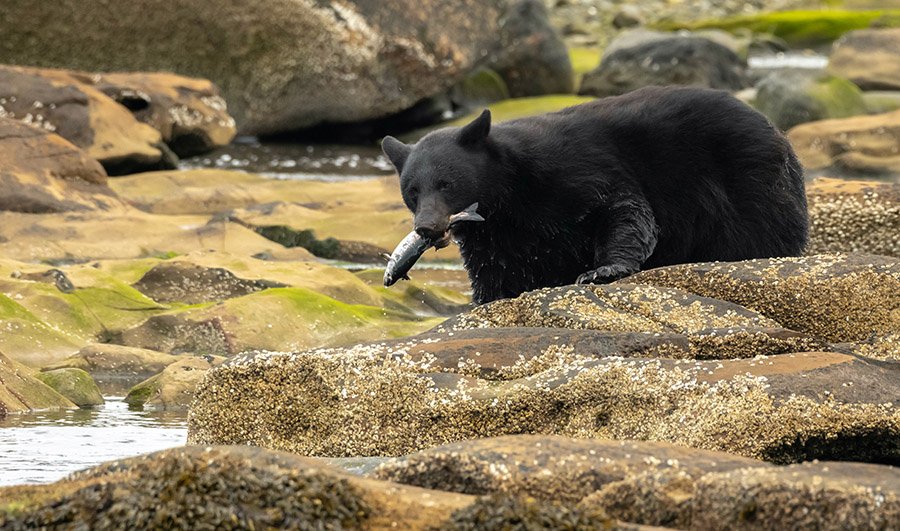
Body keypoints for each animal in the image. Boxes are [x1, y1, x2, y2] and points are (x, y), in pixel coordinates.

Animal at [380, 86, 808, 304]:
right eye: (412, 192)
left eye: (447, 183)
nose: (427, 227)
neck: (512, 192)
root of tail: (777, 132)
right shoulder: (498, 235)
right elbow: (499, 273)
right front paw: (487, 300)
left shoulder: (577, 169)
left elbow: (623, 209)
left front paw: (601, 270)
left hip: (749, 182)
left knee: (760, 232)